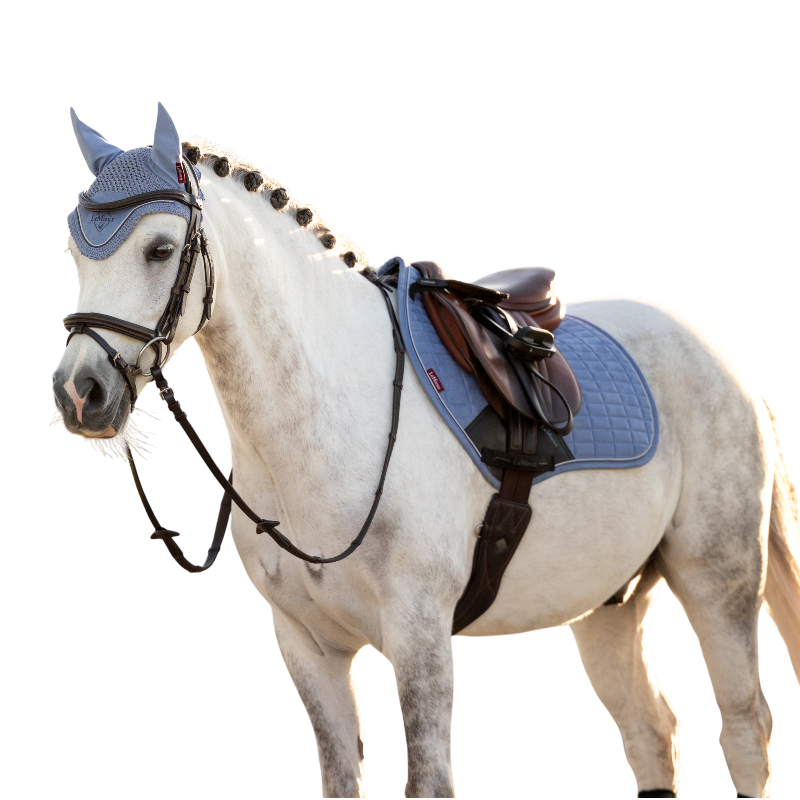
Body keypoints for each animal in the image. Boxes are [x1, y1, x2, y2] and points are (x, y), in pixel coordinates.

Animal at [51, 105, 799, 798]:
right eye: (74, 253)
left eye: (158, 248)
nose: (80, 393)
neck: (338, 412)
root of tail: (722, 357)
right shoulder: (309, 647)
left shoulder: (421, 641)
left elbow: (429, 780)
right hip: (608, 605)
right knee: (653, 732)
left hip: (717, 578)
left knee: (744, 728)